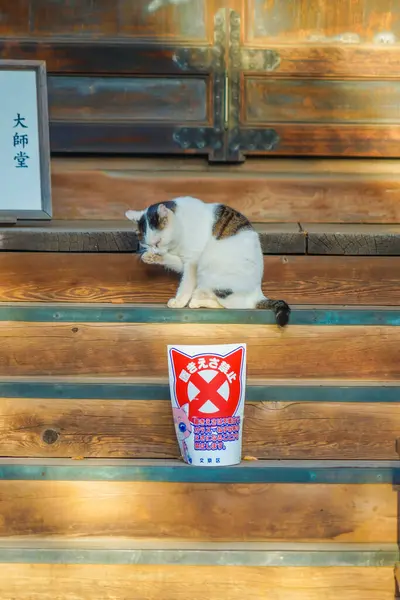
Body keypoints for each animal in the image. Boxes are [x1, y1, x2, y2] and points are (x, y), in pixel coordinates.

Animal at [126, 196, 290, 328]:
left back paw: (196, 302)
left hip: (210, 274)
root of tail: (258, 294)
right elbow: (172, 261)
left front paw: (179, 302)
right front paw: (151, 257)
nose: (153, 250)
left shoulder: (193, 261)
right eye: (146, 244)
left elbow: (186, 285)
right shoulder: (183, 260)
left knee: (229, 306)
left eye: (158, 242)